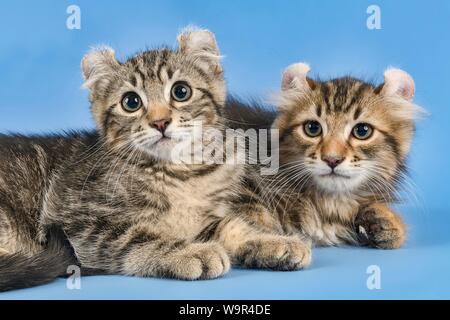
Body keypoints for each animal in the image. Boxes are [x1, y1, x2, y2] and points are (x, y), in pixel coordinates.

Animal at [0, 28, 310, 292]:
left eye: (181, 91)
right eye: (131, 102)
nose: (160, 122)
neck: (180, 174)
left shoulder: (206, 215)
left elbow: (228, 225)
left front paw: (272, 242)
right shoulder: (79, 223)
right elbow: (138, 236)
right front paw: (190, 252)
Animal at [230, 63, 424, 250]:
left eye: (362, 131)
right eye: (312, 128)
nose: (332, 159)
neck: (329, 202)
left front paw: (386, 220)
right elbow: (239, 223)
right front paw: (275, 243)